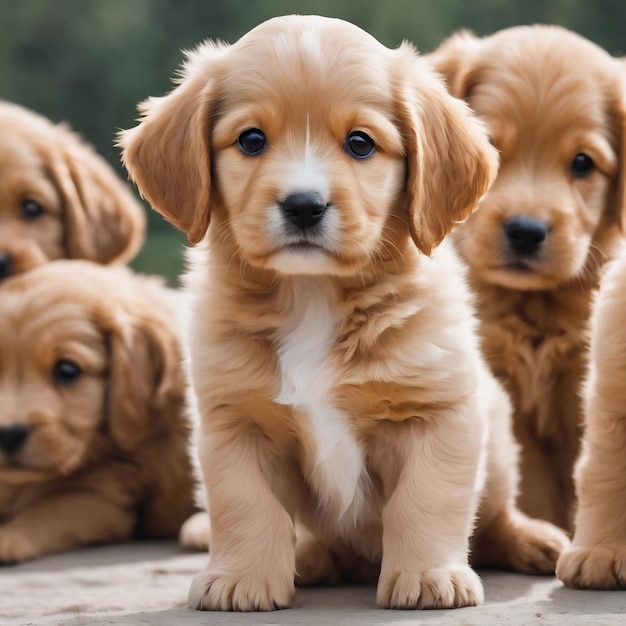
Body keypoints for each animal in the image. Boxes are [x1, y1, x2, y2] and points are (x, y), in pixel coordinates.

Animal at [119, 15, 568, 608]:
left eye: (360, 144)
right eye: (251, 140)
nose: (304, 206)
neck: (312, 297)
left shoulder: (439, 414)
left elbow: (427, 500)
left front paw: (428, 575)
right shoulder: (234, 423)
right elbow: (246, 506)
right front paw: (242, 578)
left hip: (497, 456)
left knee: (495, 520)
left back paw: (535, 539)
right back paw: (310, 558)